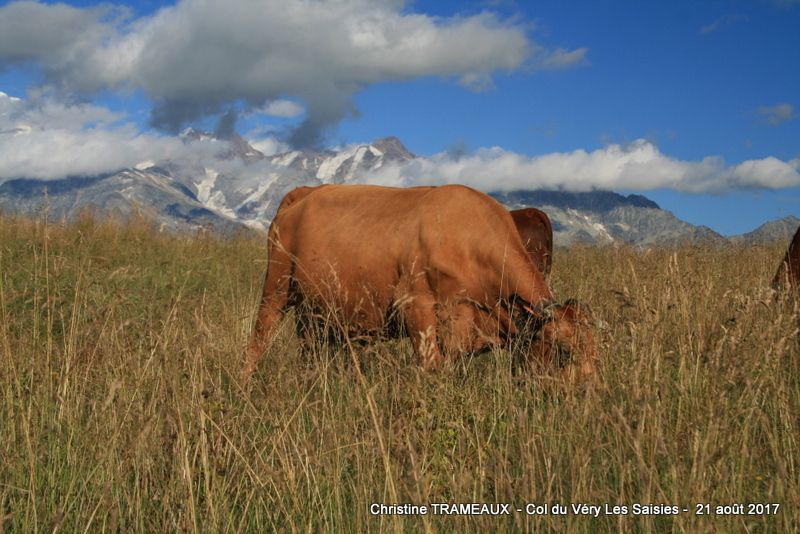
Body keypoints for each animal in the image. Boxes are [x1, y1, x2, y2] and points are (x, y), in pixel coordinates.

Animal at [242, 186, 592, 384]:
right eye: (564, 351)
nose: (592, 390)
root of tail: (303, 193)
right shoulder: (416, 307)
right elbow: (431, 370)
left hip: (314, 312)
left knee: (310, 350)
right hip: (276, 285)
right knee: (258, 339)